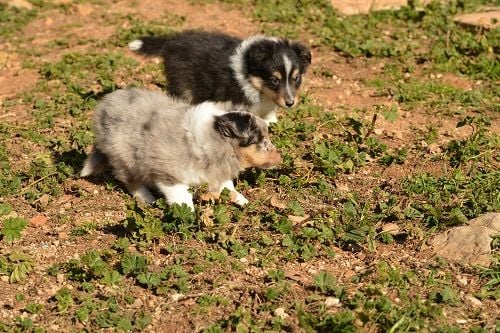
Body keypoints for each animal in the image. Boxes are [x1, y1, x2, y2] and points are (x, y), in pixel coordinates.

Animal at [80, 87, 280, 209]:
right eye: (261, 141)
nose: (281, 157)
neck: (215, 140)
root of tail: (104, 107)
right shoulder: (168, 174)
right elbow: (182, 197)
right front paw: (187, 215)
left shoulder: (217, 171)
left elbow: (227, 187)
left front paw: (242, 200)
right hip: (125, 157)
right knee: (132, 182)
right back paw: (148, 198)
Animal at [127, 30, 310, 124]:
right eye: (274, 80)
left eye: (296, 78)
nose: (290, 103)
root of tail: (173, 41)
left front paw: (270, 120)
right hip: (183, 83)